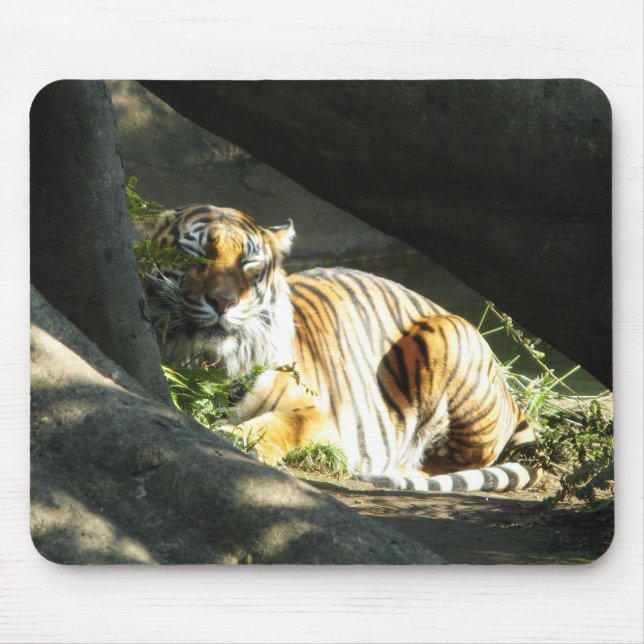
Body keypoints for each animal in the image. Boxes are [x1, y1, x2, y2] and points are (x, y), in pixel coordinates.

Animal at [142, 204, 539, 492]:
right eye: (195, 256)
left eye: (248, 263)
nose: (223, 302)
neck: (210, 363)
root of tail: (507, 391)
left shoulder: (316, 413)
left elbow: (279, 425)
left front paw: (233, 438)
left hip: (447, 338)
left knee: (460, 459)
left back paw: (398, 469)